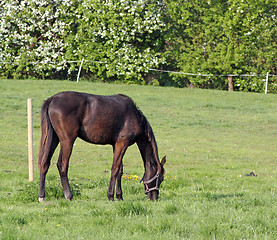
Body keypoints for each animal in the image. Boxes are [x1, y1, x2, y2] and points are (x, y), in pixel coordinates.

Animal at [37, 91, 165, 202]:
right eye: (161, 178)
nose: (155, 197)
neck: (135, 117)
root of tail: (52, 99)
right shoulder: (122, 143)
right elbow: (115, 169)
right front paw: (111, 196)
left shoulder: (116, 145)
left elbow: (120, 170)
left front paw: (119, 196)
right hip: (67, 140)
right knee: (62, 165)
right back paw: (68, 195)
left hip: (54, 138)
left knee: (45, 163)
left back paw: (42, 196)